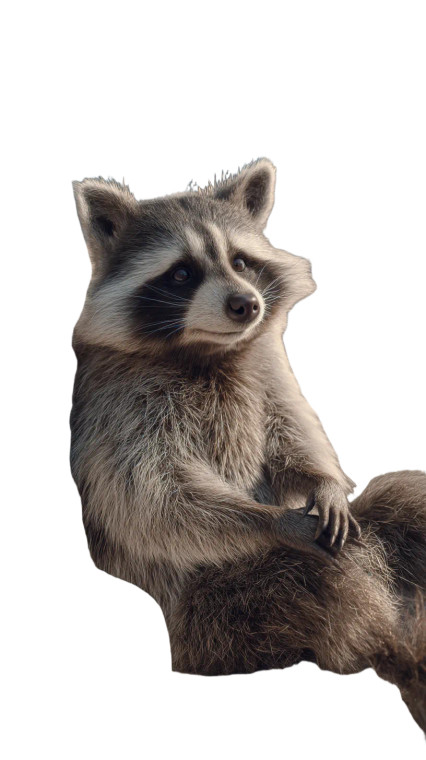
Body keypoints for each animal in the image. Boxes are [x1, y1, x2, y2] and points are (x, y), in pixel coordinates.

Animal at [71, 159, 426, 731]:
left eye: (240, 261)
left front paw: (325, 483)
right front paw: (271, 520)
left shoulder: (267, 368)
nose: (246, 304)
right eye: (181, 273)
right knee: (323, 581)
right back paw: (398, 654)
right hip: (221, 616)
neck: (204, 350)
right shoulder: (118, 408)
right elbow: (153, 499)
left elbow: (293, 438)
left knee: (405, 501)